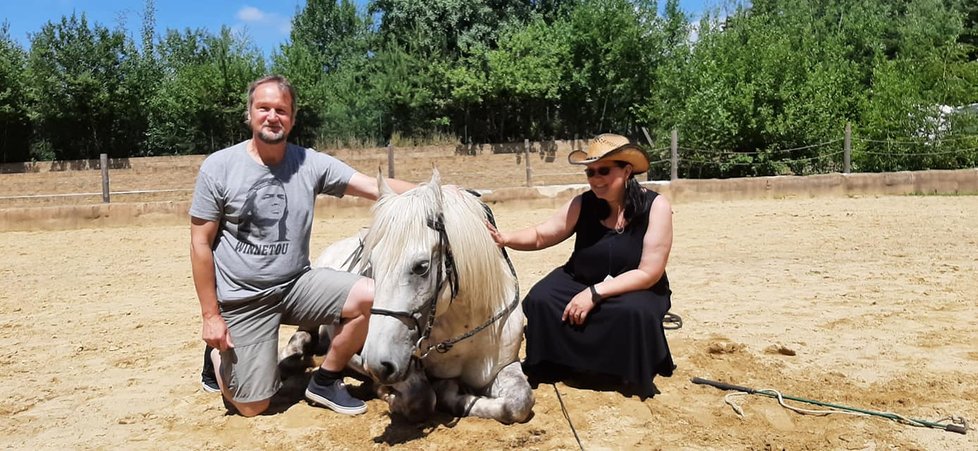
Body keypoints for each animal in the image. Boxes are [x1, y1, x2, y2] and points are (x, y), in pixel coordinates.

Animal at [282, 171, 532, 426]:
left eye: (421, 267)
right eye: (371, 265)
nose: (377, 364)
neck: (465, 326)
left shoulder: (504, 366)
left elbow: (519, 403)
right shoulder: (403, 366)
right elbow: (421, 399)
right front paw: (386, 392)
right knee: (304, 334)